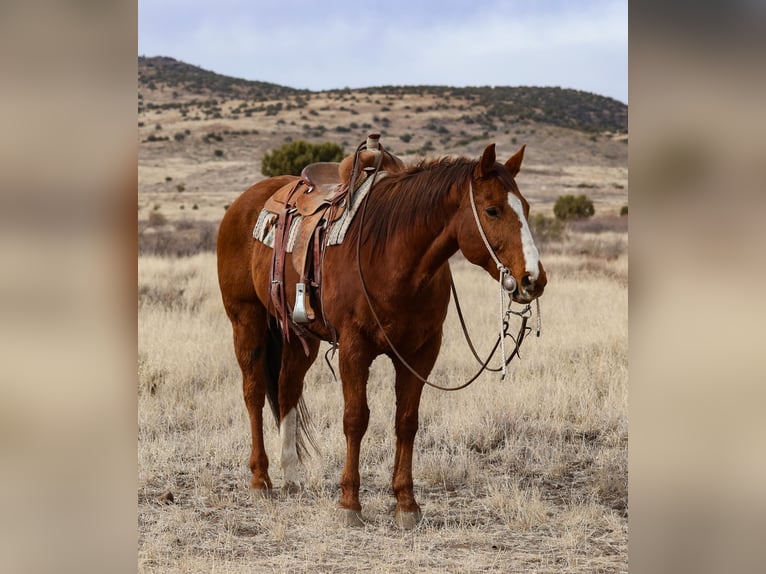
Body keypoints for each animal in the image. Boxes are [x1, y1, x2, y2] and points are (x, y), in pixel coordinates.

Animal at [219, 144, 548, 532]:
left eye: (526, 208)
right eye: (493, 210)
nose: (533, 280)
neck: (394, 257)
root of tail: (244, 202)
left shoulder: (421, 352)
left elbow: (406, 421)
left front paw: (406, 503)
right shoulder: (354, 348)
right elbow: (355, 419)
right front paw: (349, 503)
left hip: (301, 336)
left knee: (287, 389)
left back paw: (292, 477)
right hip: (246, 319)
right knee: (254, 393)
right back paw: (261, 479)